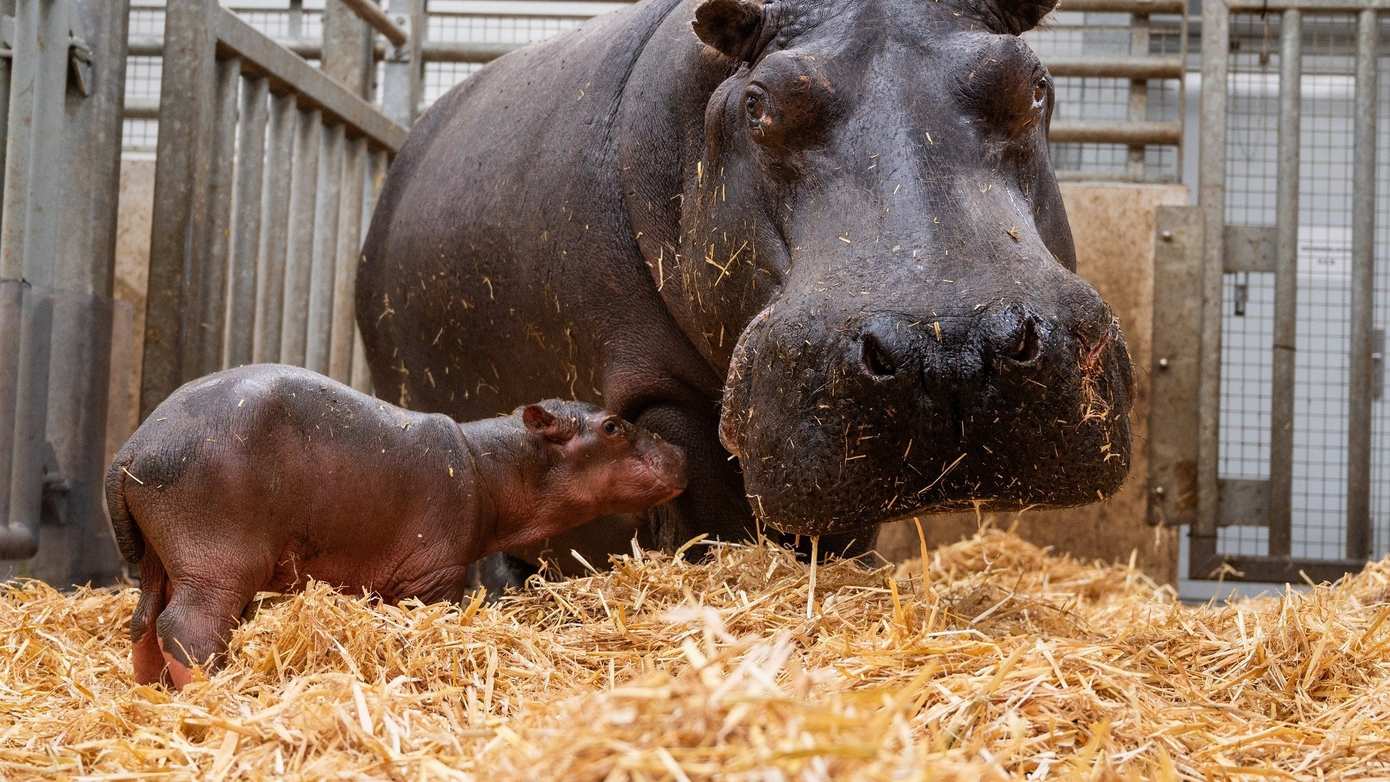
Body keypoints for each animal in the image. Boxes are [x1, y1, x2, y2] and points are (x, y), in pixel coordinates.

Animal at [108, 363, 689, 688]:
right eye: (612, 426)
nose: (681, 451)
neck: (493, 465)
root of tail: (131, 449)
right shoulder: (436, 576)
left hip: (161, 559)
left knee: (144, 622)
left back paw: (149, 693)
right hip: (218, 564)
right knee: (187, 628)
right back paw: (213, 694)